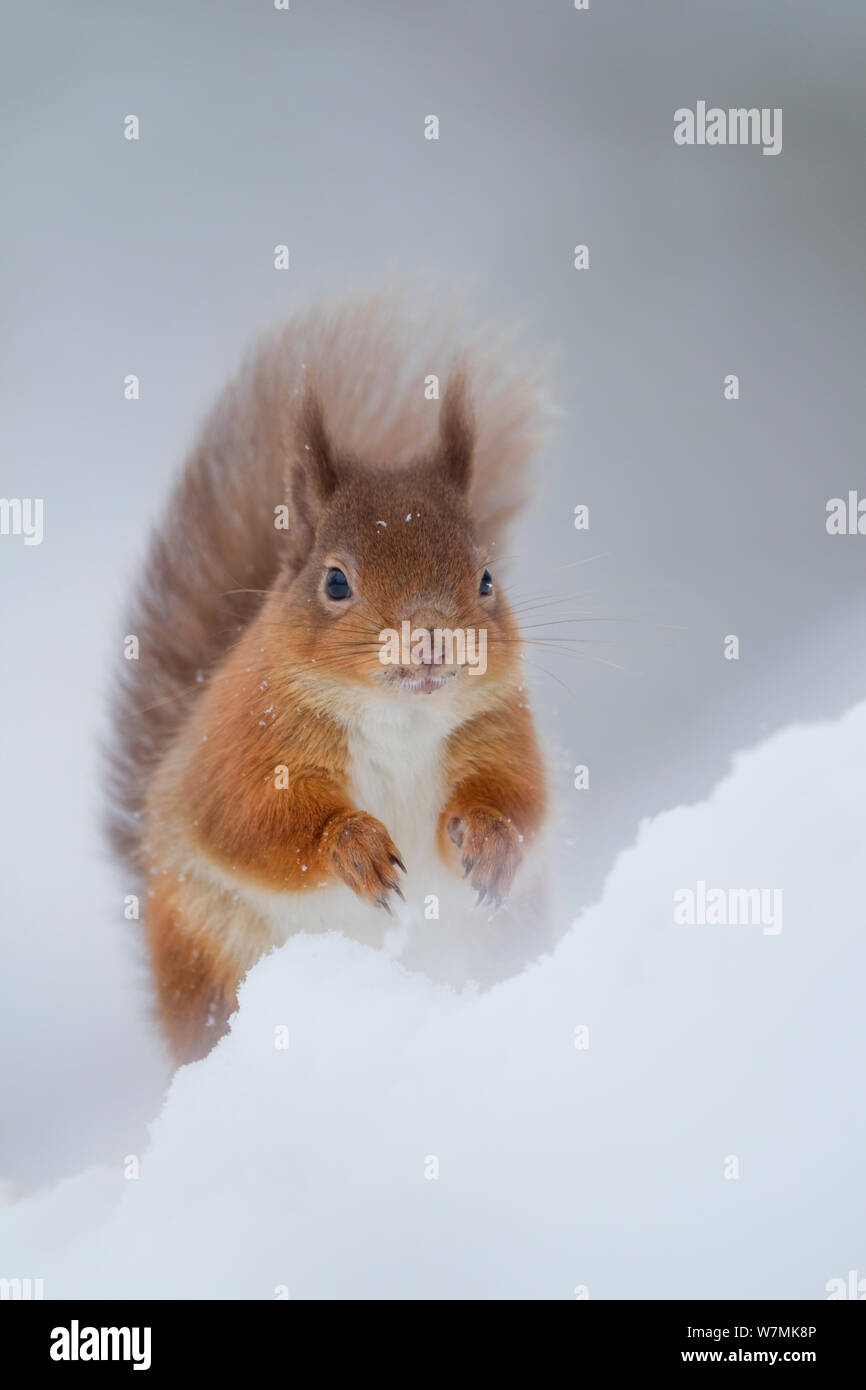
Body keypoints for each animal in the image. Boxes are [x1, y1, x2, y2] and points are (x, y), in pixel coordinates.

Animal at [108, 287, 553, 1056]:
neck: (402, 718)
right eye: (336, 583)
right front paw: (353, 846)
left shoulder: (500, 725)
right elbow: (253, 821)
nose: (431, 639)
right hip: (213, 960)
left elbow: (521, 794)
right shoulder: (242, 742)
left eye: (487, 578)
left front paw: (492, 839)